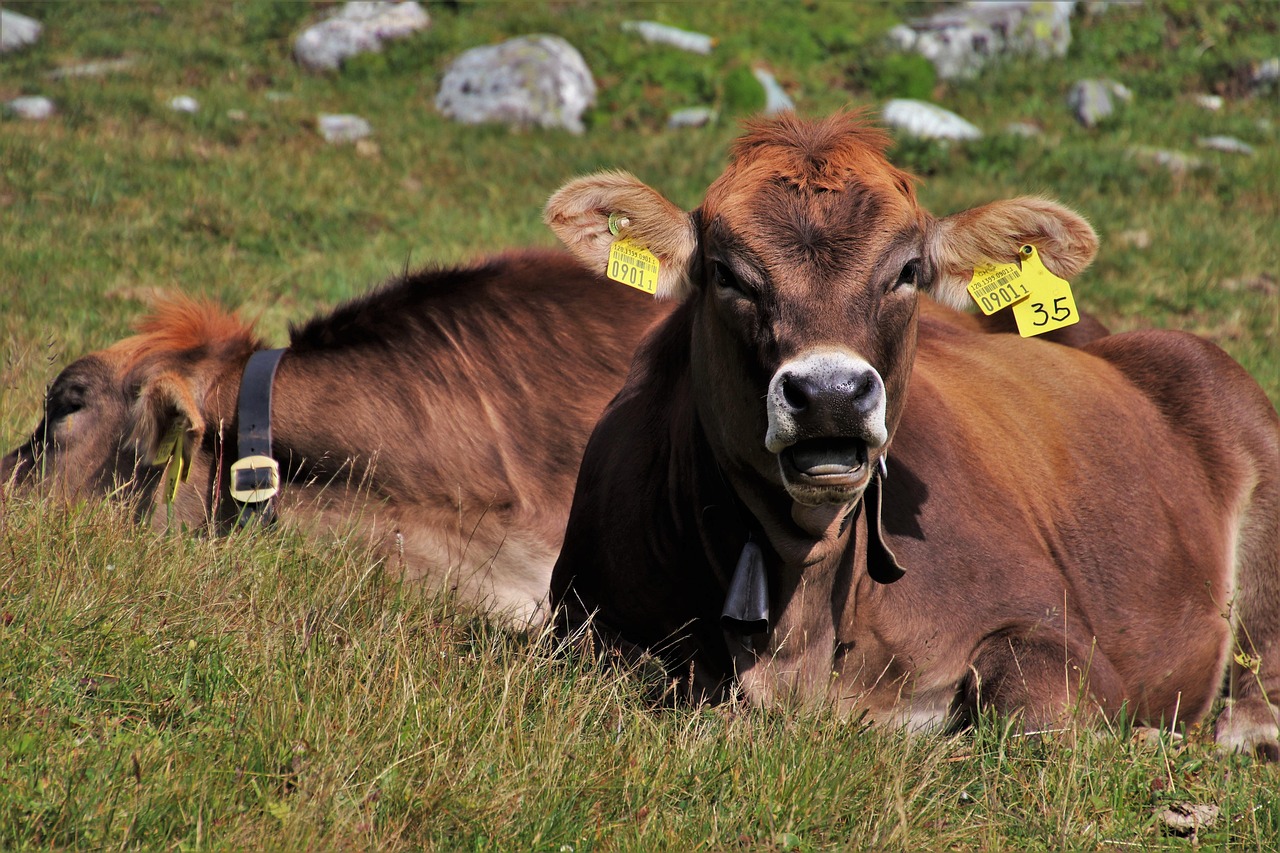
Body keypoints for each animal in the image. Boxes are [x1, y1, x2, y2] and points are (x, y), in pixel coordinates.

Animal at [545, 111, 1280, 753]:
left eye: (906, 272)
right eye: (727, 273)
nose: (831, 394)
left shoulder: (1058, 631)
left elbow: (1036, 712)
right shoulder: (581, 623)